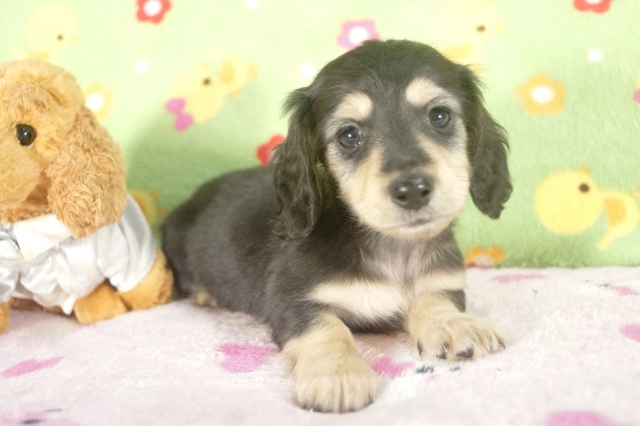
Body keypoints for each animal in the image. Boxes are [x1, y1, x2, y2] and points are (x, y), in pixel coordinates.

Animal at [162, 39, 512, 413]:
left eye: (440, 116)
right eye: (349, 135)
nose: (413, 190)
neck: (393, 250)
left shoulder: (443, 282)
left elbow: (434, 299)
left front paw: (453, 324)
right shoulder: (290, 299)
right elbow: (327, 328)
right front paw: (337, 373)